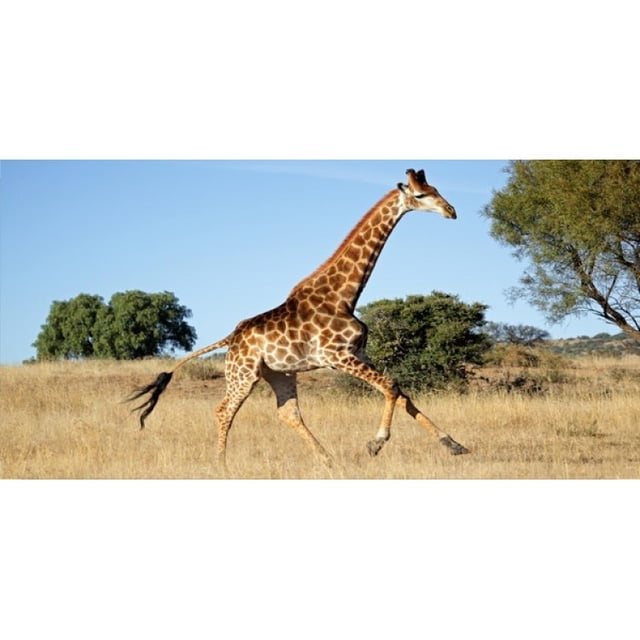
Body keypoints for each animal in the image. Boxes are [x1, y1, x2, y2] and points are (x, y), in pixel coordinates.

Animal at [127, 168, 469, 470]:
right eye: (421, 194)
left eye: (436, 189)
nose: (451, 211)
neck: (344, 296)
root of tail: (231, 338)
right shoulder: (337, 356)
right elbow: (392, 385)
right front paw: (376, 443)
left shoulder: (359, 353)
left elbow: (401, 393)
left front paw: (454, 445)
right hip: (242, 374)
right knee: (223, 410)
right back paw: (222, 466)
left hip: (280, 374)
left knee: (287, 413)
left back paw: (328, 460)